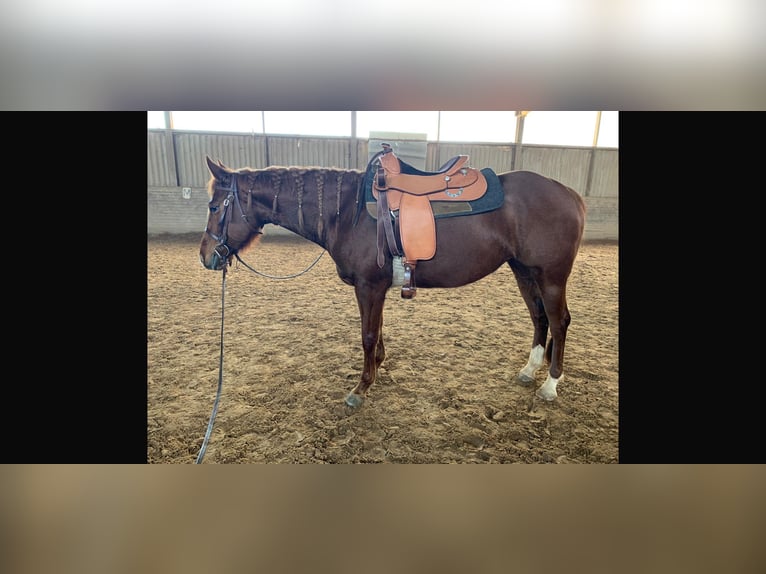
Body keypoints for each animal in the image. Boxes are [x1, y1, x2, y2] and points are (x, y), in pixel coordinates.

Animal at [199, 151, 586, 409]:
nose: (206, 256)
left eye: (214, 207)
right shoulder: (377, 288)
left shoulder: (368, 286)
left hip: (551, 277)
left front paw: (361, 387)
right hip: (524, 272)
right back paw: (530, 369)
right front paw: (379, 366)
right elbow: (379, 329)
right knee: (539, 318)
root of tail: (570, 194)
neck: (346, 211)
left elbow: (368, 335)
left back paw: (550, 385)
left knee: (559, 321)